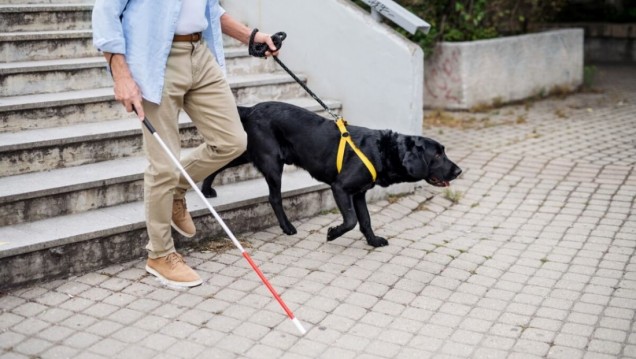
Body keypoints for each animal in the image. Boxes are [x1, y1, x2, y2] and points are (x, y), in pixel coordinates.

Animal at [201, 101, 460, 248]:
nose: (459, 170)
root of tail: (252, 109)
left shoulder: (359, 194)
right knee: (274, 197)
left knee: (221, 160)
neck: (383, 150)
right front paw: (333, 234)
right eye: (437, 155)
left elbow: (365, 220)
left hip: (247, 151)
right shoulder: (341, 187)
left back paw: (205, 189)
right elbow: (351, 220)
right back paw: (287, 227)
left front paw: (373, 241)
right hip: (272, 162)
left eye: (443, 152)